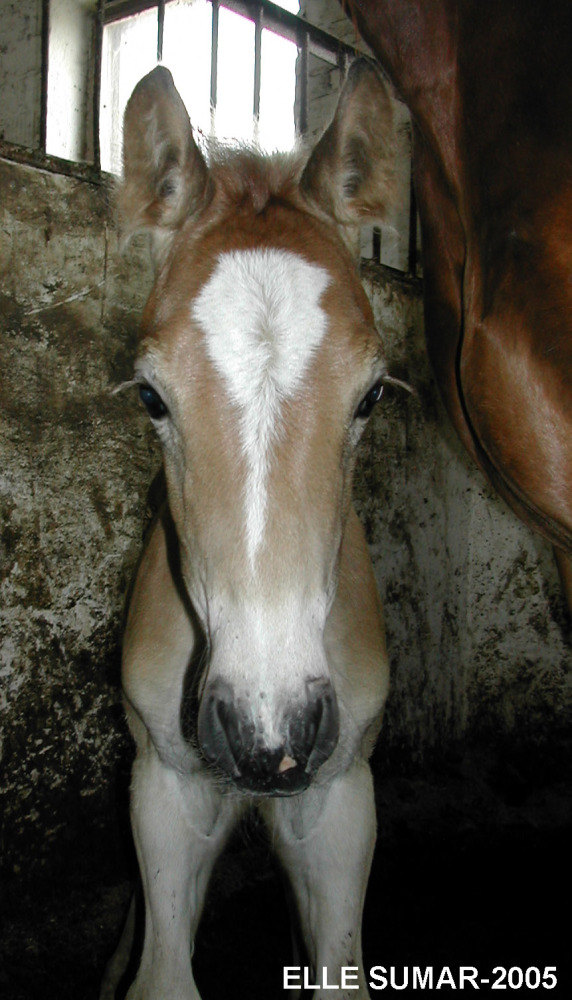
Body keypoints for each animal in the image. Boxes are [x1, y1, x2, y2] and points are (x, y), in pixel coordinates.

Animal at [103, 58, 396, 996]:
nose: (272, 739)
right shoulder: (165, 789)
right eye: (151, 396)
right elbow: (161, 975)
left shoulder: (339, 799)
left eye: (371, 396)